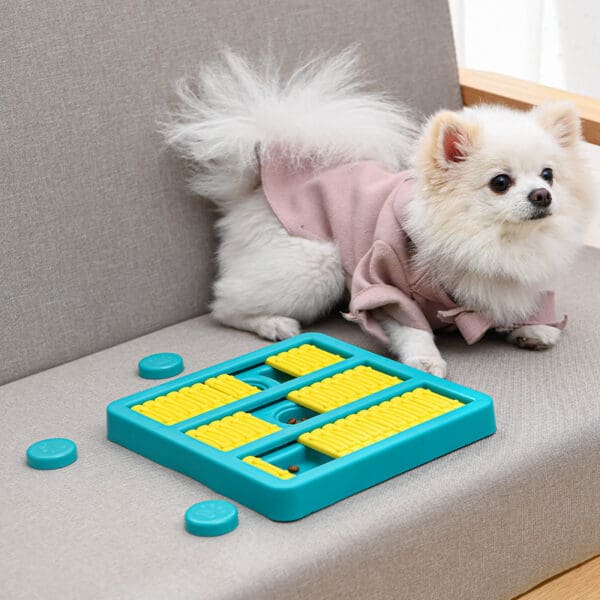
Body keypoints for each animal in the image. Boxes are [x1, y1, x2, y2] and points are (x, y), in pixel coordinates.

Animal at [165, 52, 596, 380]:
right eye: (501, 182)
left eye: (548, 175)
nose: (542, 195)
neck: (494, 239)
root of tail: (258, 183)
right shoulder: (383, 281)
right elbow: (412, 327)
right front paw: (425, 359)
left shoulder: (527, 281)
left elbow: (531, 302)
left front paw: (536, 327)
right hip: (317, 265)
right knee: (224, 305)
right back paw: (272, 323)